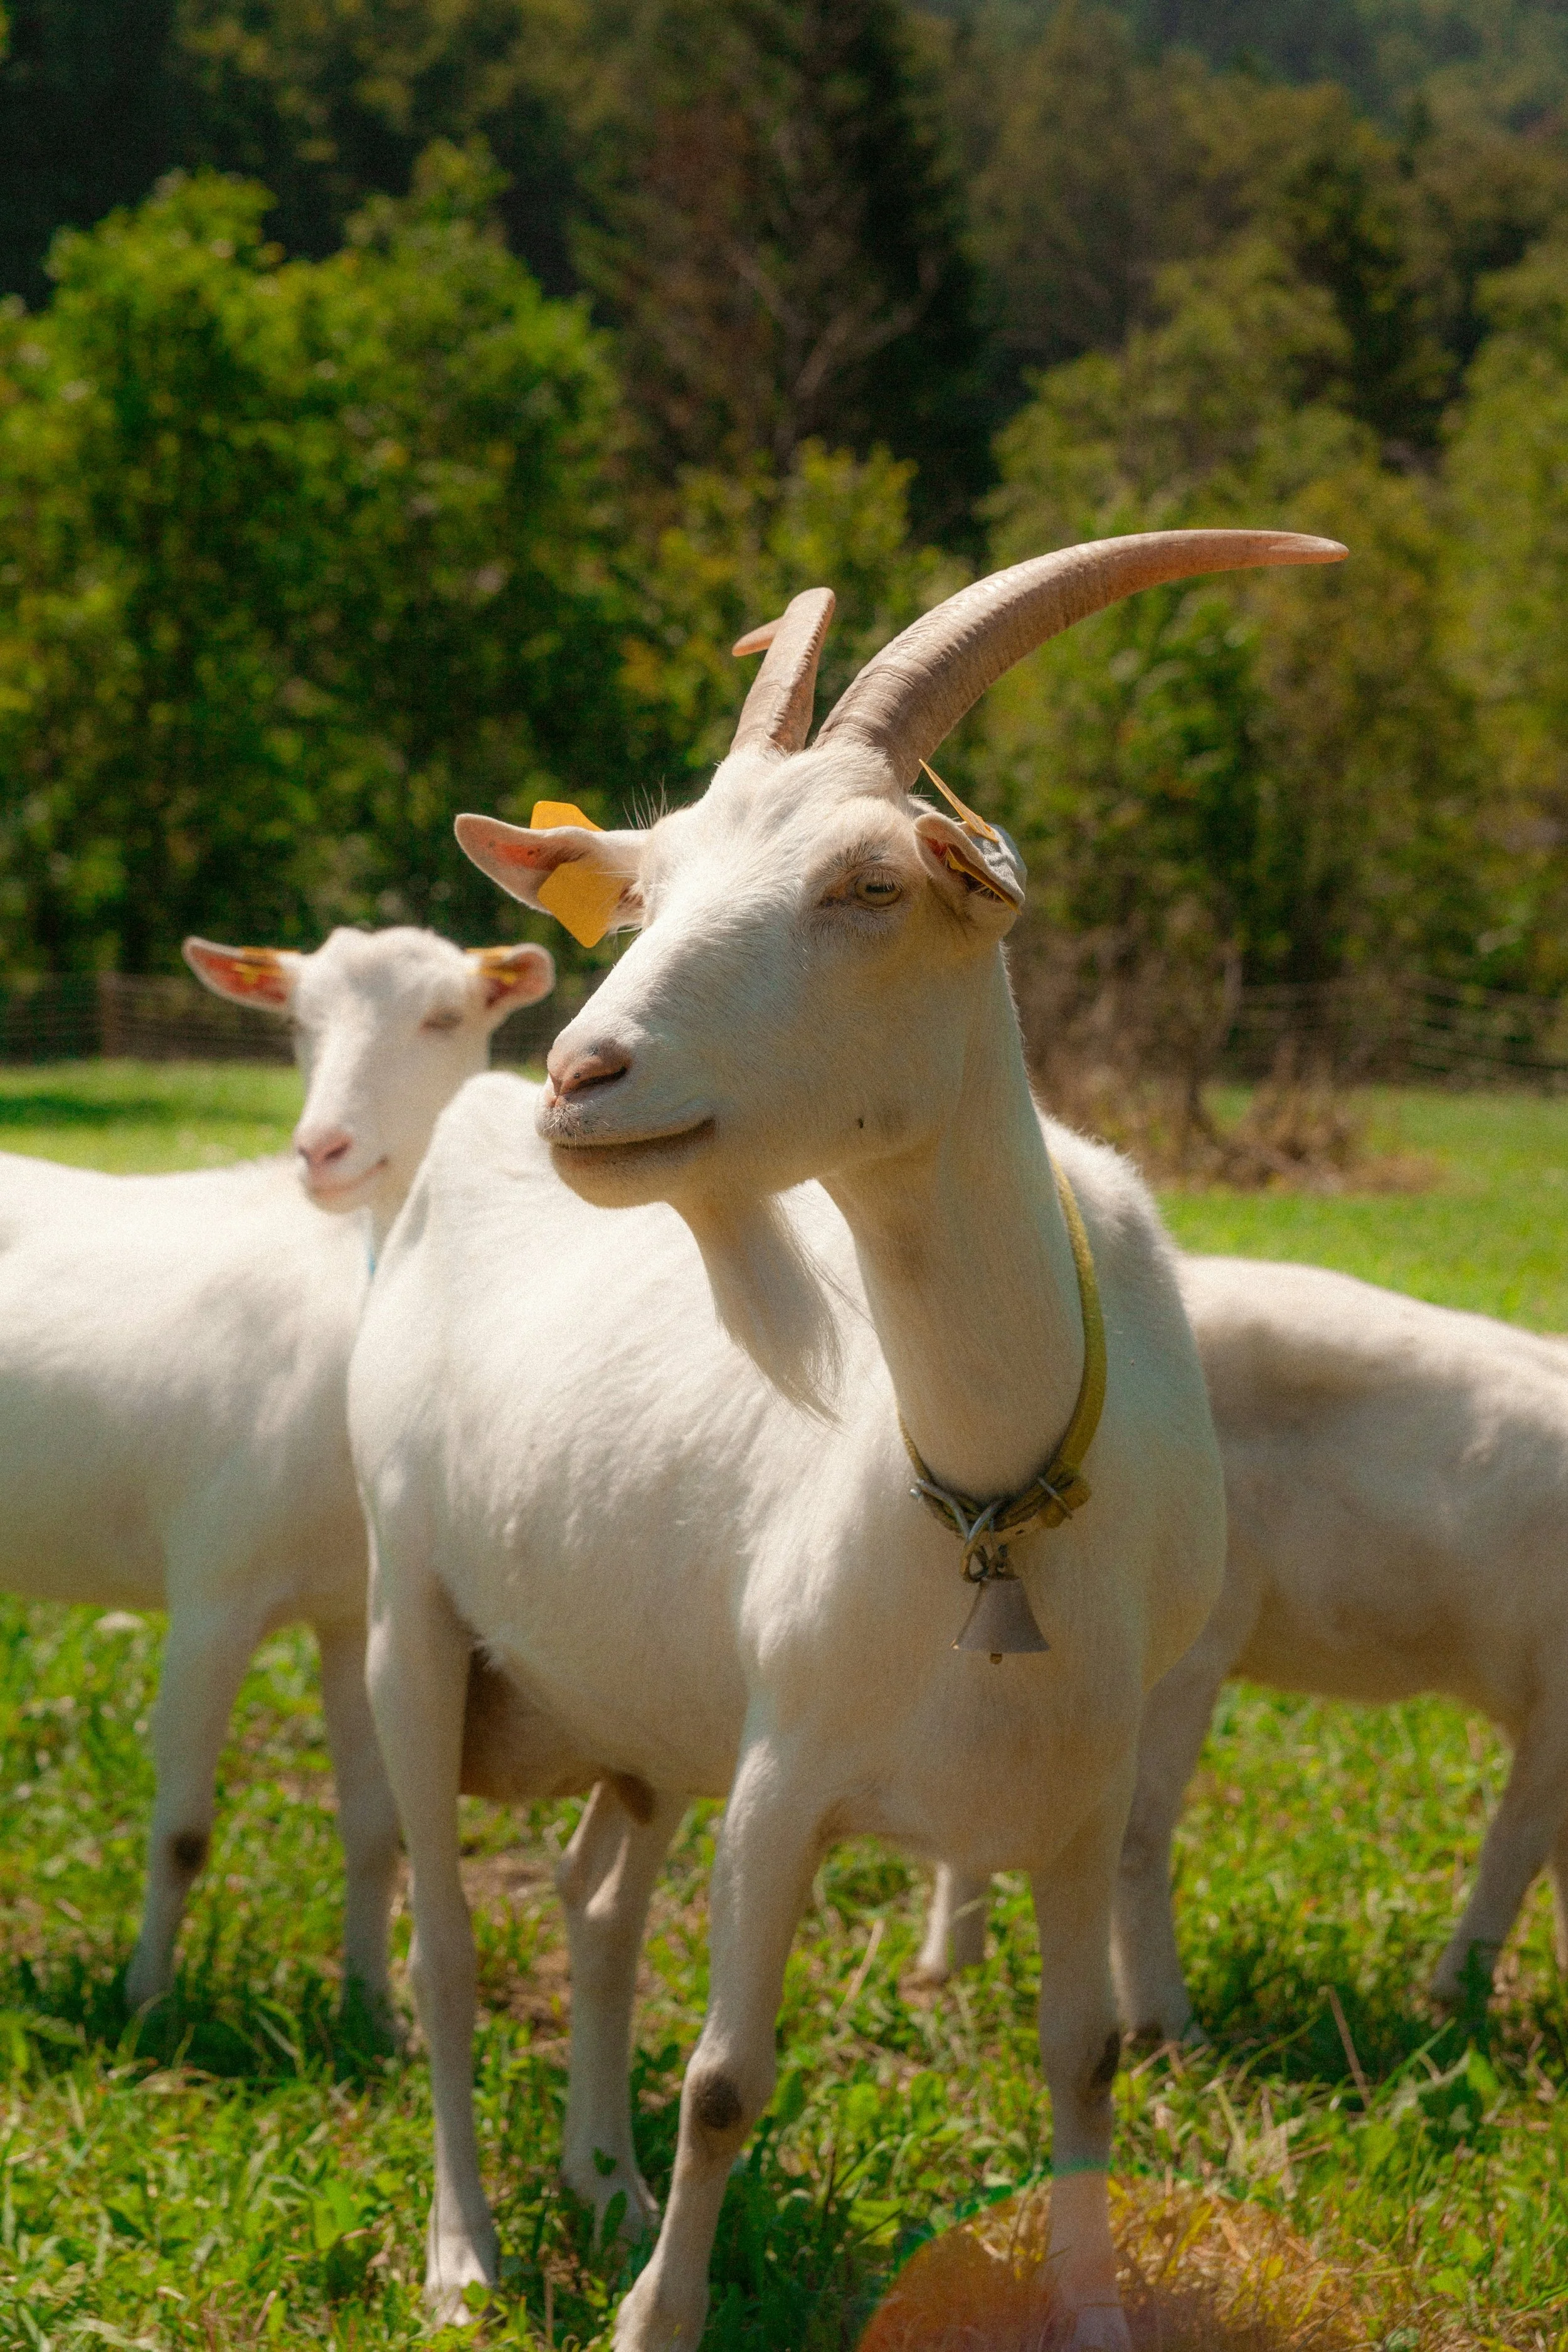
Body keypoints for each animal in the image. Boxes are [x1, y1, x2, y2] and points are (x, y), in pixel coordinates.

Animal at [0, 924, 551, 2020]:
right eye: (298, 1019)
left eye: (447, 1014)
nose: (323, 1149)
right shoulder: (213, 1589)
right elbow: (181, 1830)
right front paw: (146, 2005)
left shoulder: (349, 1608)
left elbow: (373, 1828)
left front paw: (372, 2015)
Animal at [349, 530, 1343, 2349]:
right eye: (645, 894)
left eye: (873, 886)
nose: (584, 1074)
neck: (993, 1499)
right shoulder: (783, 1768)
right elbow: (727, 2080)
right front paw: (653, 2318)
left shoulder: (1084, 1789)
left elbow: (1083, 2058)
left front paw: (1092, 2308)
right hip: (411, 1608)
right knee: (451, 1943)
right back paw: (469, 2250)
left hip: (640, 1702)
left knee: (597, 1903)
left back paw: (595, 2176)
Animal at [921, 1254, 1568, 2030]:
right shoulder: (1556, 1693)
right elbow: (1517, 1845)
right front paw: (1454, 2000)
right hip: (1176, 1649)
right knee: (1135, 1835)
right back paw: (1168, 2027)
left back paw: (948, 1973)